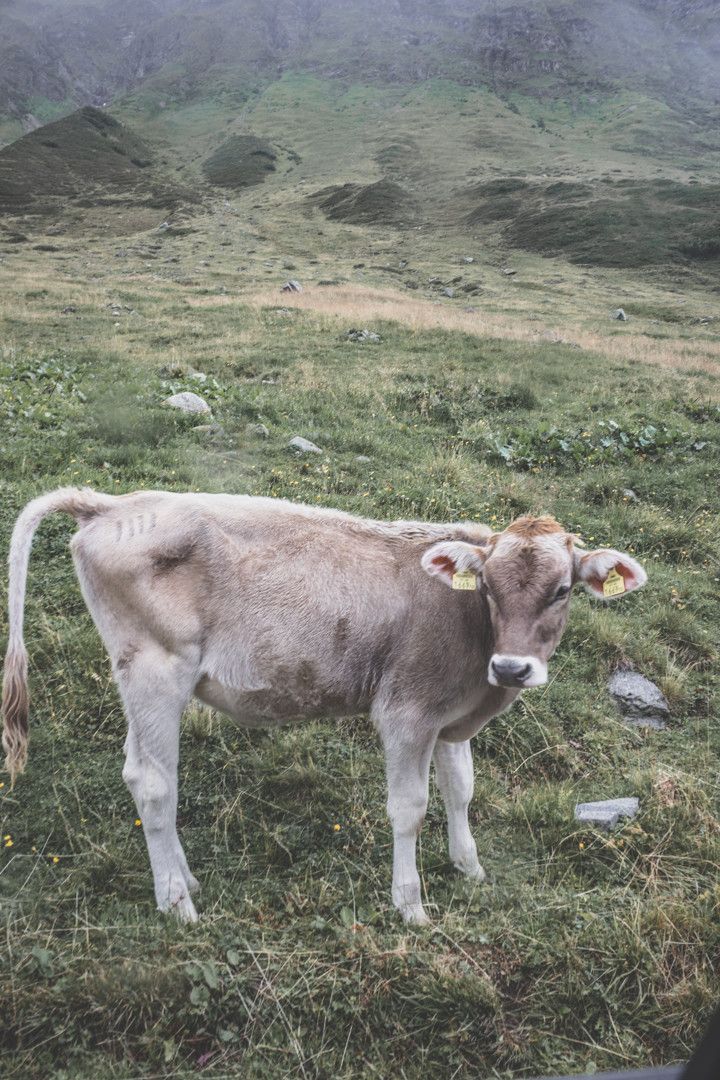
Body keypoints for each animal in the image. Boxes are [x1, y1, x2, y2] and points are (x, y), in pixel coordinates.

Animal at [1, 488, 647, 920]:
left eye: (561, 591)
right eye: (487, 585)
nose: (512, 667)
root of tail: (110, 504)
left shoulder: (448, 718)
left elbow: (461, 790)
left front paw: (471, 870)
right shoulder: (406, 712)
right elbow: (410, 808)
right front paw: (410, 907)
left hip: (141, 680)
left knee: (139, 772)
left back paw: (183, 880)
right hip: (156, 670)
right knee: (157, 784)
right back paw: (179, 904)